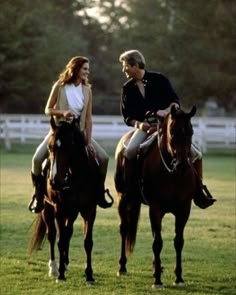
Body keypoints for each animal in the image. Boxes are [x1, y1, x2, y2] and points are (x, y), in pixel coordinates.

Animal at [29, 117, 99, 284]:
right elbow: (60, 241)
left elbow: (87, 242)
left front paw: (89, 275)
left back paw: (65, 263)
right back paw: (54, 268)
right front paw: (60, 274)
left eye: (69, 146)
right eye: (50, 147)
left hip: (72, 212)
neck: (77, 177)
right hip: (47, 209)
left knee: (68, 232)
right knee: (52, 235)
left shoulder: (89, 210)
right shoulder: (59, 210)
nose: (54, 181)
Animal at [114, 106, 199, 290]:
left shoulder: (184, 210)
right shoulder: (156, 208)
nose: (182, 165)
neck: (172, 174)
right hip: (123, 200)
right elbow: (158, 242)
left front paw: (178, 277)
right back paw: (123, 267)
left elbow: (178, 241)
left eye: (191, 131)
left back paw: (155, 267)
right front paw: (158, 280)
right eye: (172, 131)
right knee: (124, 229)